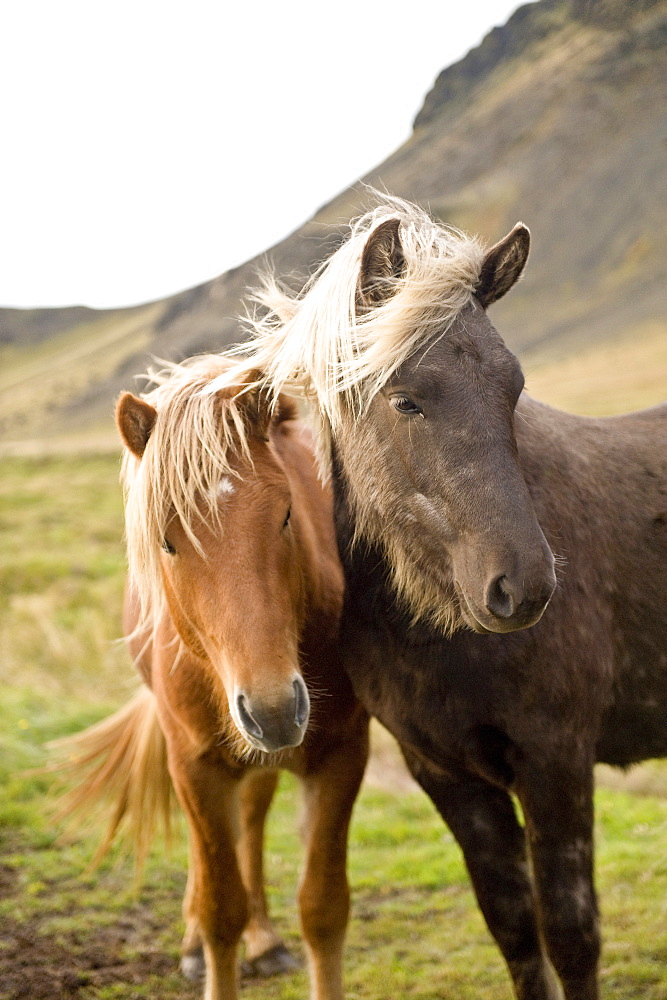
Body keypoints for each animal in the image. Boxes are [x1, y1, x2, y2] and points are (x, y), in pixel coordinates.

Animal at [53, 358, 370, 1000]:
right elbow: (220, 908)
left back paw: (265, 940)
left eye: (287, 515)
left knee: (251, 819)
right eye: (167, 542)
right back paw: (194, 944)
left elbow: (323, 908)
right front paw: (208, 942)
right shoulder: (196, 765)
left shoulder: (343, 755)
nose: (273, 710)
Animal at [218, 197, 667, 1000]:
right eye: (406, 400)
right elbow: (515, 929)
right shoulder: (447, 776)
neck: (439, 637)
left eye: (512, 390)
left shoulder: (555, 759)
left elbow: (571, 934)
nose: (523, 586)